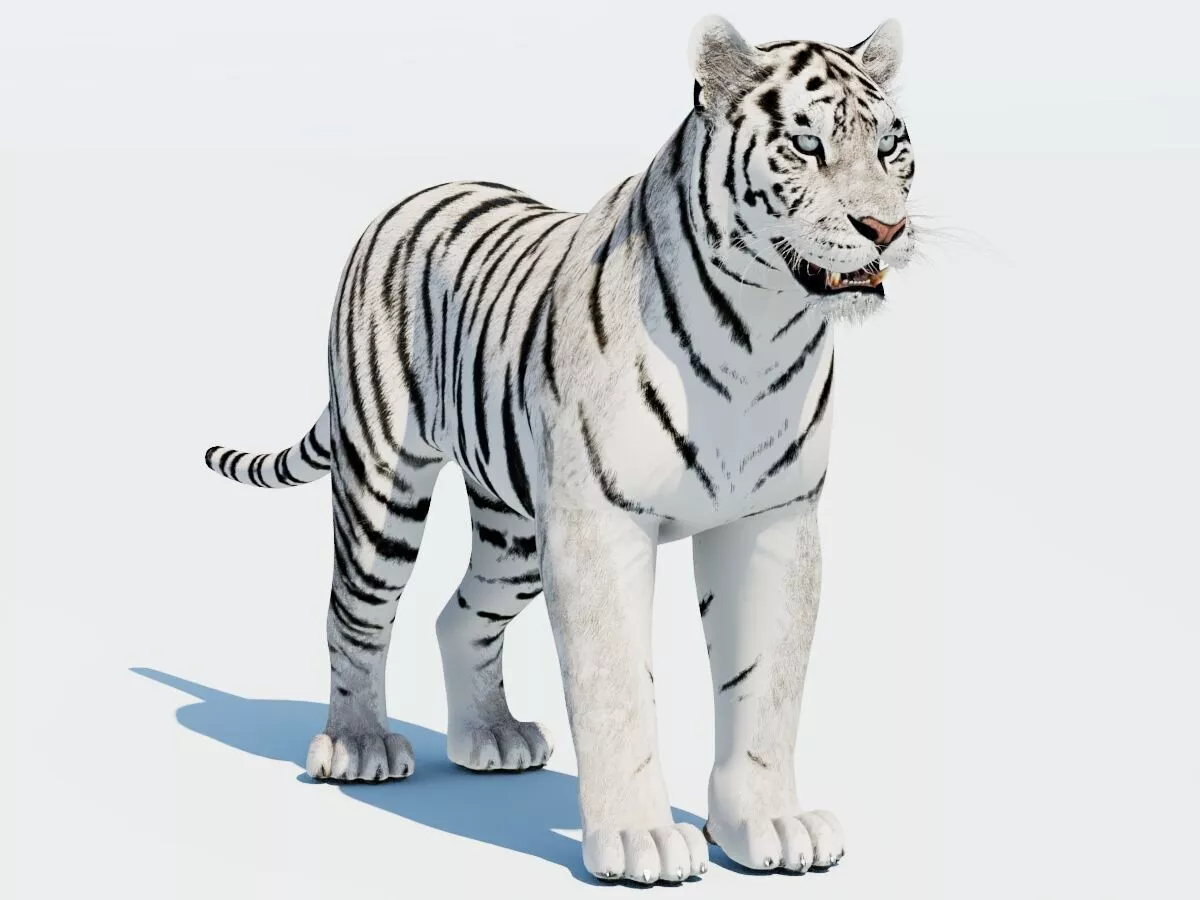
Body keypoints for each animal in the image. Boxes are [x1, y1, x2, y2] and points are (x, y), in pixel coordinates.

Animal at [204, 14, 916, 884]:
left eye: (891, 147)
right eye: (807, 145)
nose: (885, 228)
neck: (761, 329)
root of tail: (415, 194)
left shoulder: (773, 521)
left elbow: (764, 686)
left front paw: (768, 825)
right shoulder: (600, 527)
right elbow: (618, 689)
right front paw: (642, 840)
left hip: (517, 531)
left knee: (460, 614)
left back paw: (492, 736)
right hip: (383, 486)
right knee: (355, 613)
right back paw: (359, 744)